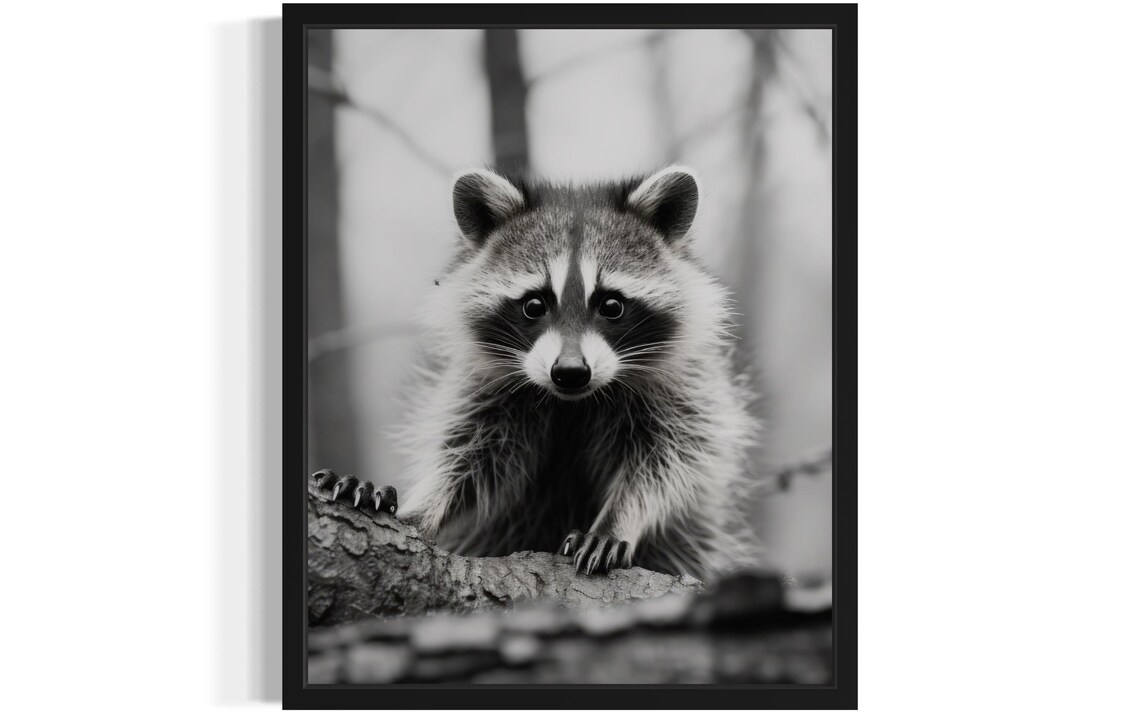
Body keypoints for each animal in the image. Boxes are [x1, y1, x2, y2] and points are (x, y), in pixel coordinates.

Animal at [313, 166, 761, 581]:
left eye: (611, 305)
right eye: (534, 305)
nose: (570, 372)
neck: (573, 402)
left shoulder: (681, 389)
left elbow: (666, 463)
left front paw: (617, 520)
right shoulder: (484, 389)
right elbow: (468, 457)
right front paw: (420, 507)